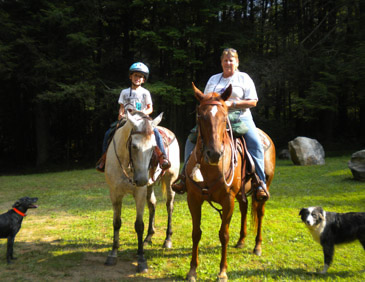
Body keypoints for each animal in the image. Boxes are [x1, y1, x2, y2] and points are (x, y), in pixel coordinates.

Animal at [104, 110, 179, 274]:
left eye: (153, 147)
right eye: (134, 146)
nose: (142, 179)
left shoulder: (139, 193)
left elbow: (139, 225)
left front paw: (141, 260)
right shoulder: (114, 194)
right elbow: (116, 222)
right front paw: (113, 254)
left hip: (170, 180)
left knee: (169, 206)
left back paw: (167, 240)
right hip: (149, 186)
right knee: (152, 204)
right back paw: (148, 238)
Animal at [186, 83, 274, 280]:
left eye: (224, 116)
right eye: (200, 116)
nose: (214, 154)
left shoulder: (228, 201)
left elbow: (223, 235)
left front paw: (222, 272)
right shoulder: (193, 199)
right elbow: (196, 233)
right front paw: (192, 270)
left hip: (264, 187)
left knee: (260, 212)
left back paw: (257, 246)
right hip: (241, 193)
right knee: (244, 207)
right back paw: (241, 240)